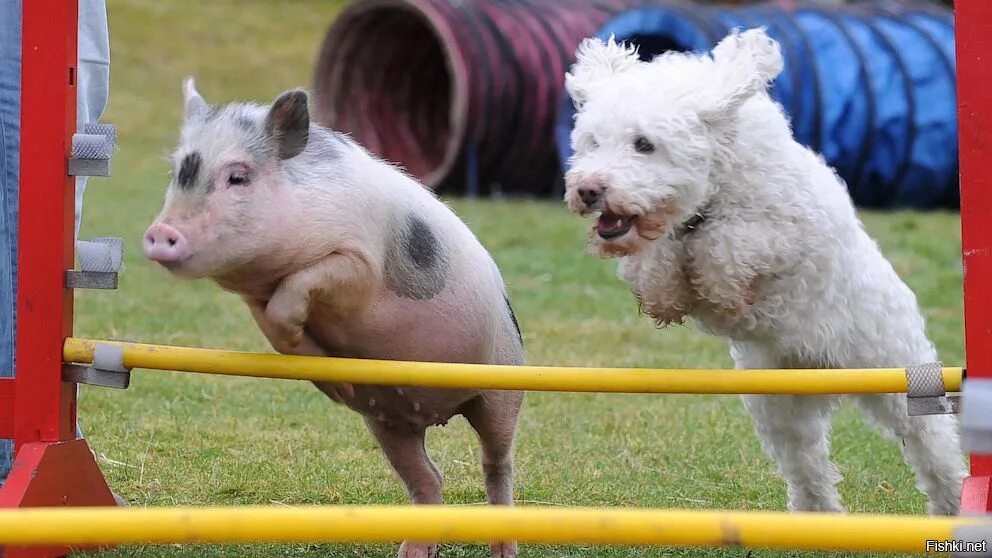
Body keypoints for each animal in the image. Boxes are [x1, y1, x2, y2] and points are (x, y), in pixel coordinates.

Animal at [142, 80, 528, 558]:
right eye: (178, 172)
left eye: (238, 177)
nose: (160, 233)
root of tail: (437, 413)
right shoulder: (255, 297)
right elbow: (275, 328)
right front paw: (337, 384)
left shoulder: (357, 262)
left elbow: (300, 289)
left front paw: (318, 357)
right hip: (388, 422)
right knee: (429, 477)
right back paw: (410, 553)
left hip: (502, 387)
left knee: (497, 464)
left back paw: (503, 548)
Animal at [560, 26, 964, 516]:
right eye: (592, 142)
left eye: (644, 144)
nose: (588, 189)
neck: (714, 191)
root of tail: (822, 370)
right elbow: (651, 261)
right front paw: (664, 294)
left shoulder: (785, 231)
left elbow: (727, 242)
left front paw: (719, 285)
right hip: (778, 406)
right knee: (808, 469)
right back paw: (817, 516)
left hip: (897, 375)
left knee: (932, 444)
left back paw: (953, 502)